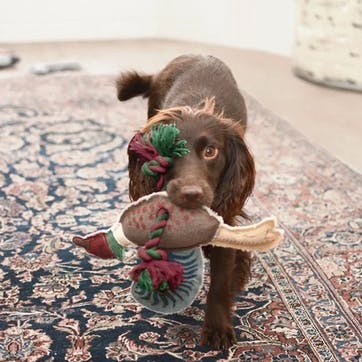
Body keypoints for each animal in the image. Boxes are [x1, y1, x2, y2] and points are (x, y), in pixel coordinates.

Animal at [116, 55, 255, 350]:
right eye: (166, 151)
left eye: (210, 151)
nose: (191, 193)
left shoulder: (225, 216)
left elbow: (220, 281)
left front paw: (217, 327)